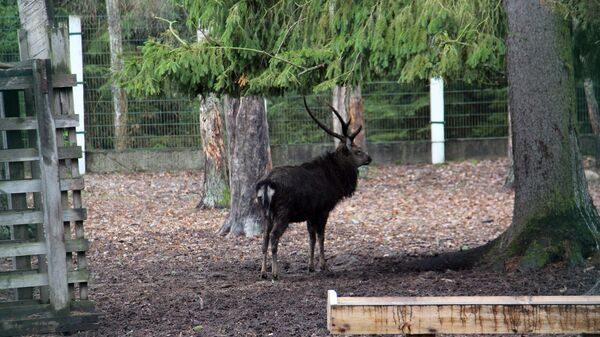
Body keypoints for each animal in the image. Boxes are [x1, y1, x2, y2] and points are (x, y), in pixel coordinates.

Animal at [255, 96, 372, 278]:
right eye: (358, 151)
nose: (370, 158)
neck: (334, 180)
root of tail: (266, 184)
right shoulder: (323, 209)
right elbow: (321, 237)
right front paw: (324, 266)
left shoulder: (310, 213)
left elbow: (311, 238)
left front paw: (310, 266)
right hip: (283, 212)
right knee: (274, 237)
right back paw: (275, 273)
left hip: (265, 213)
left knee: (264, 238)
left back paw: (263, 272)